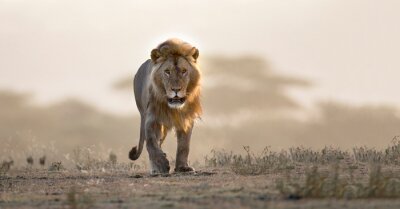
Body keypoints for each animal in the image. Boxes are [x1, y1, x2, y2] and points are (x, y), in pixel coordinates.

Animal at [129, 38, 202, 174]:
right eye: (167, 72)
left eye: (184, 71)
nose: (176, 89)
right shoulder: (152, 117)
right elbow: (151, 142)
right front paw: (161, 164)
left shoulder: (186, 118)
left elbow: (184, 145)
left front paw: (182, 167)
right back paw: (155, 168)